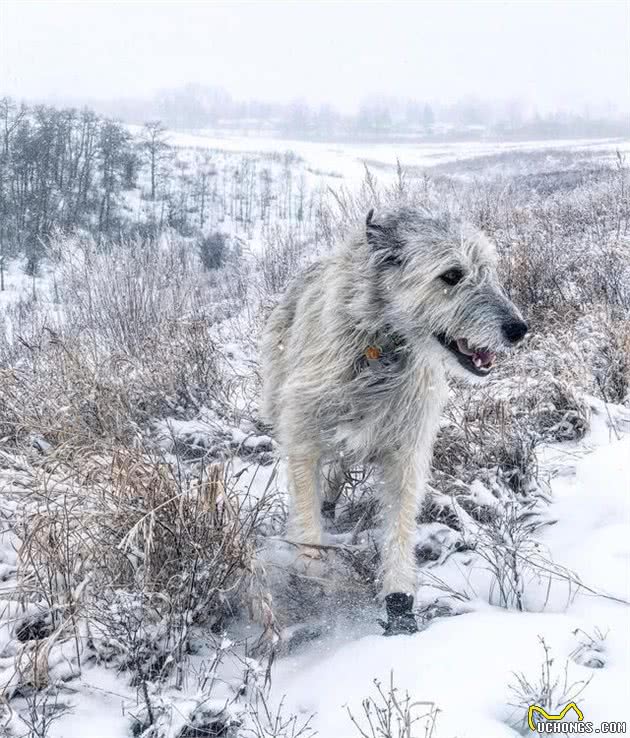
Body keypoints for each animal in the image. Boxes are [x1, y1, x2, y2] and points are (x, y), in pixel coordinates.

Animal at [260, 207, 528, 632]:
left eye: (487, 271)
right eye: (452, 275)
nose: (519, 329)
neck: (380, 346)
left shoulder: (406, 451)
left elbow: (399, 521)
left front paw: (398, 600)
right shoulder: (302, 438)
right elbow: (307, 519)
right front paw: (313, 579)